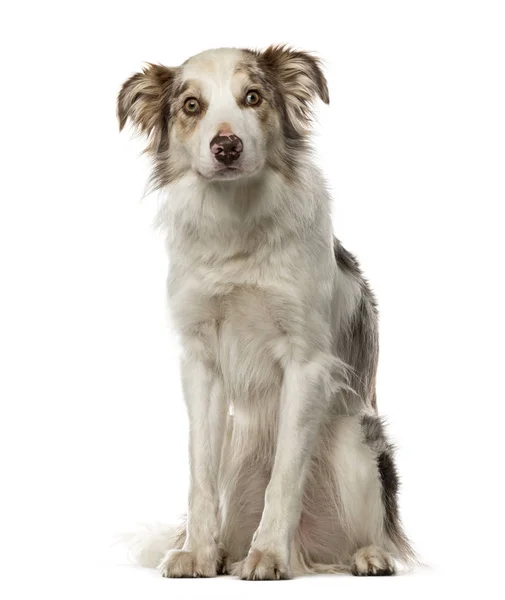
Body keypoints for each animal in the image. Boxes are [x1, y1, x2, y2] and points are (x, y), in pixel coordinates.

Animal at [118, 44, 414, 580]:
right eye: (191, 106)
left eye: (252, 97)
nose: (227, 147)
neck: (236, 225)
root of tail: (311, 551)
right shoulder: (200, 361)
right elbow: (199, 476)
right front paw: (198, 553)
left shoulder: (307, 361)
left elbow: (285, 475)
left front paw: (269, 555)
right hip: (237, 442)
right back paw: (222, 553)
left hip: (356, 440)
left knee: (374, 529)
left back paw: (367, 555)